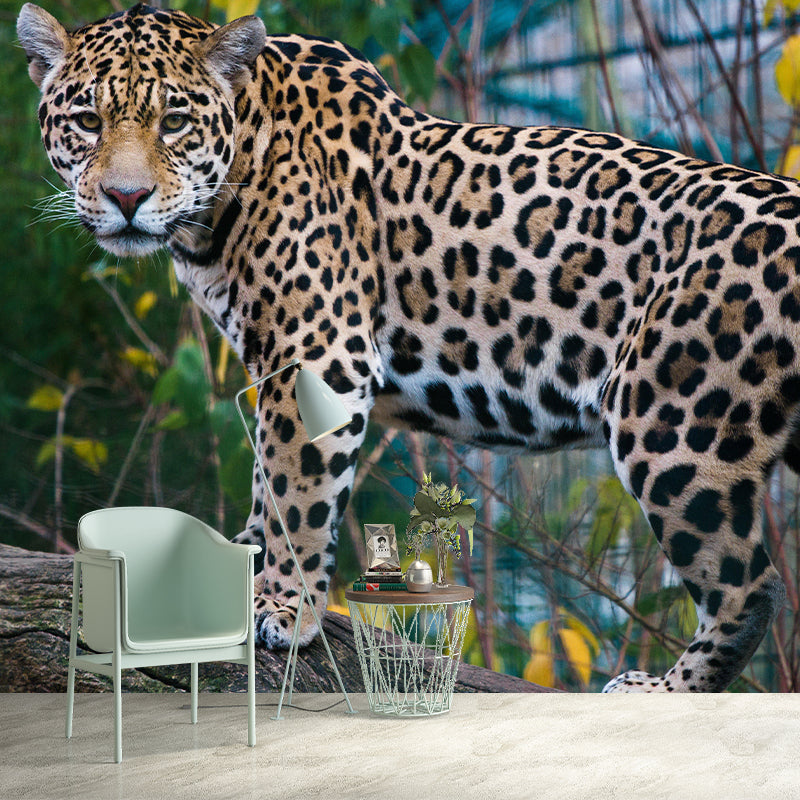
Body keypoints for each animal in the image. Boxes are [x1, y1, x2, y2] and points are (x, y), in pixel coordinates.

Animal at [18, 1, 799, 692]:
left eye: (174, 122)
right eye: (87, 121)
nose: (125, 198)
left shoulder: (318, 353)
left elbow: (296, 490)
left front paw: (282, 606)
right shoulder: (274, 362)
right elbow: (266, 483)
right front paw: (242, 566)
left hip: (671, 427)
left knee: (750, 589)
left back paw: (661, 690)